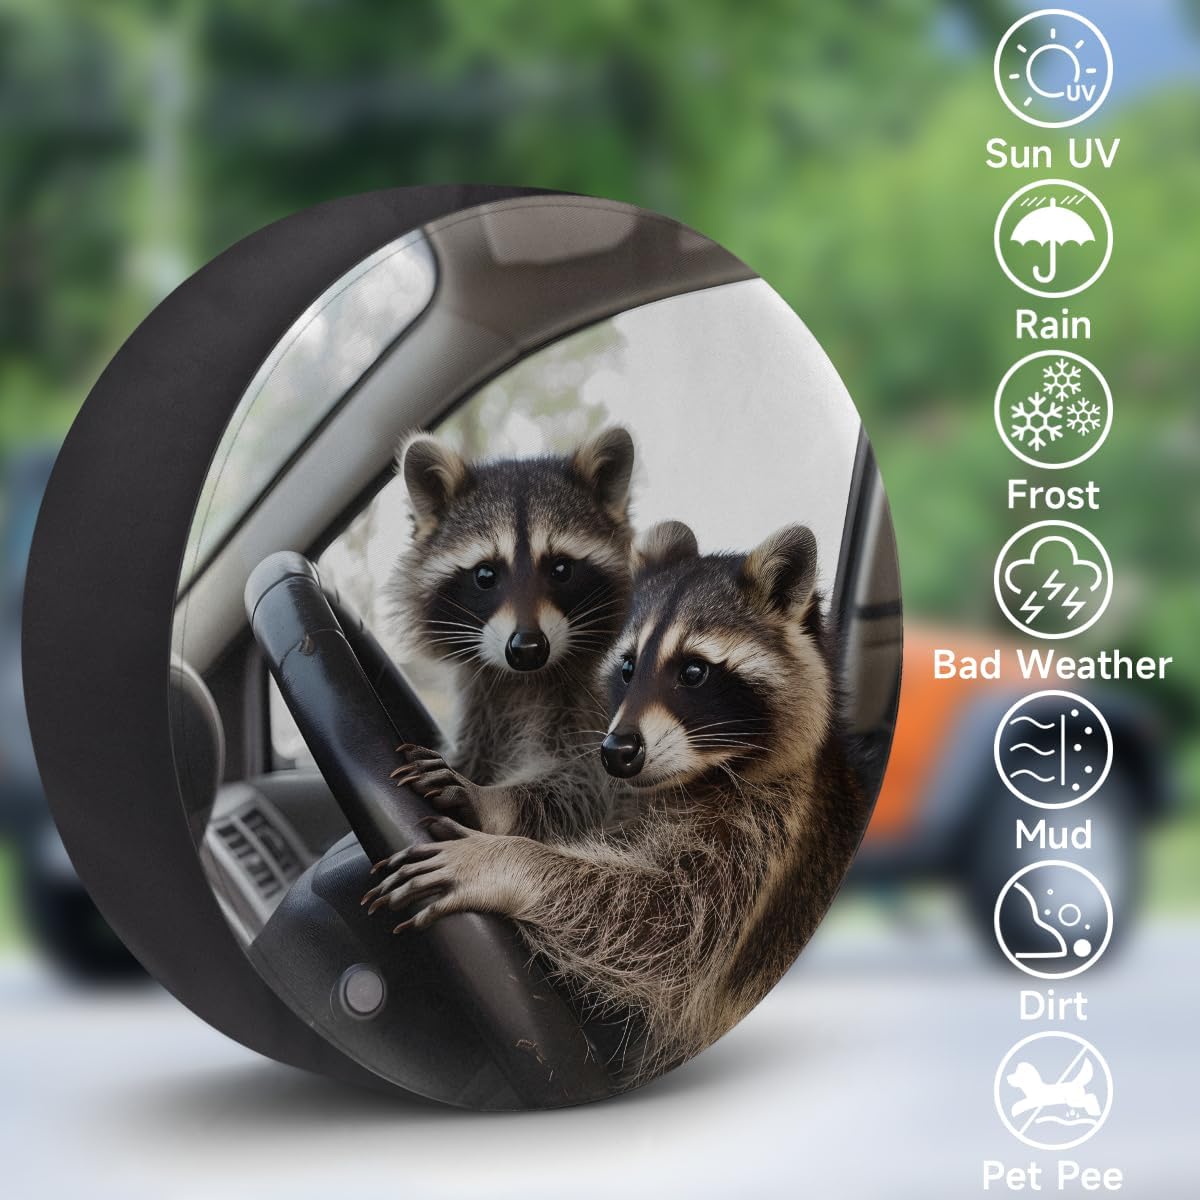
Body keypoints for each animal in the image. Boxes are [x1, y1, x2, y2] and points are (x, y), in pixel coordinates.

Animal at [364, 519, 870, 1083]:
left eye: (693, 673)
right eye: (627, 668)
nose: (617, 751)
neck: (702, 771)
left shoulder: (766, 838)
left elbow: (667, 929)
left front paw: (503, 862)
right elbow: (591, 806)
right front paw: (491, 801)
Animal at [386, 426, 636, 841]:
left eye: (561, 569)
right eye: (485, 574)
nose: (528, 647)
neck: (525, 679)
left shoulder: (596, 705)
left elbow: (586, 783)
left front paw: (491, 800)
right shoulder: (482, 699)